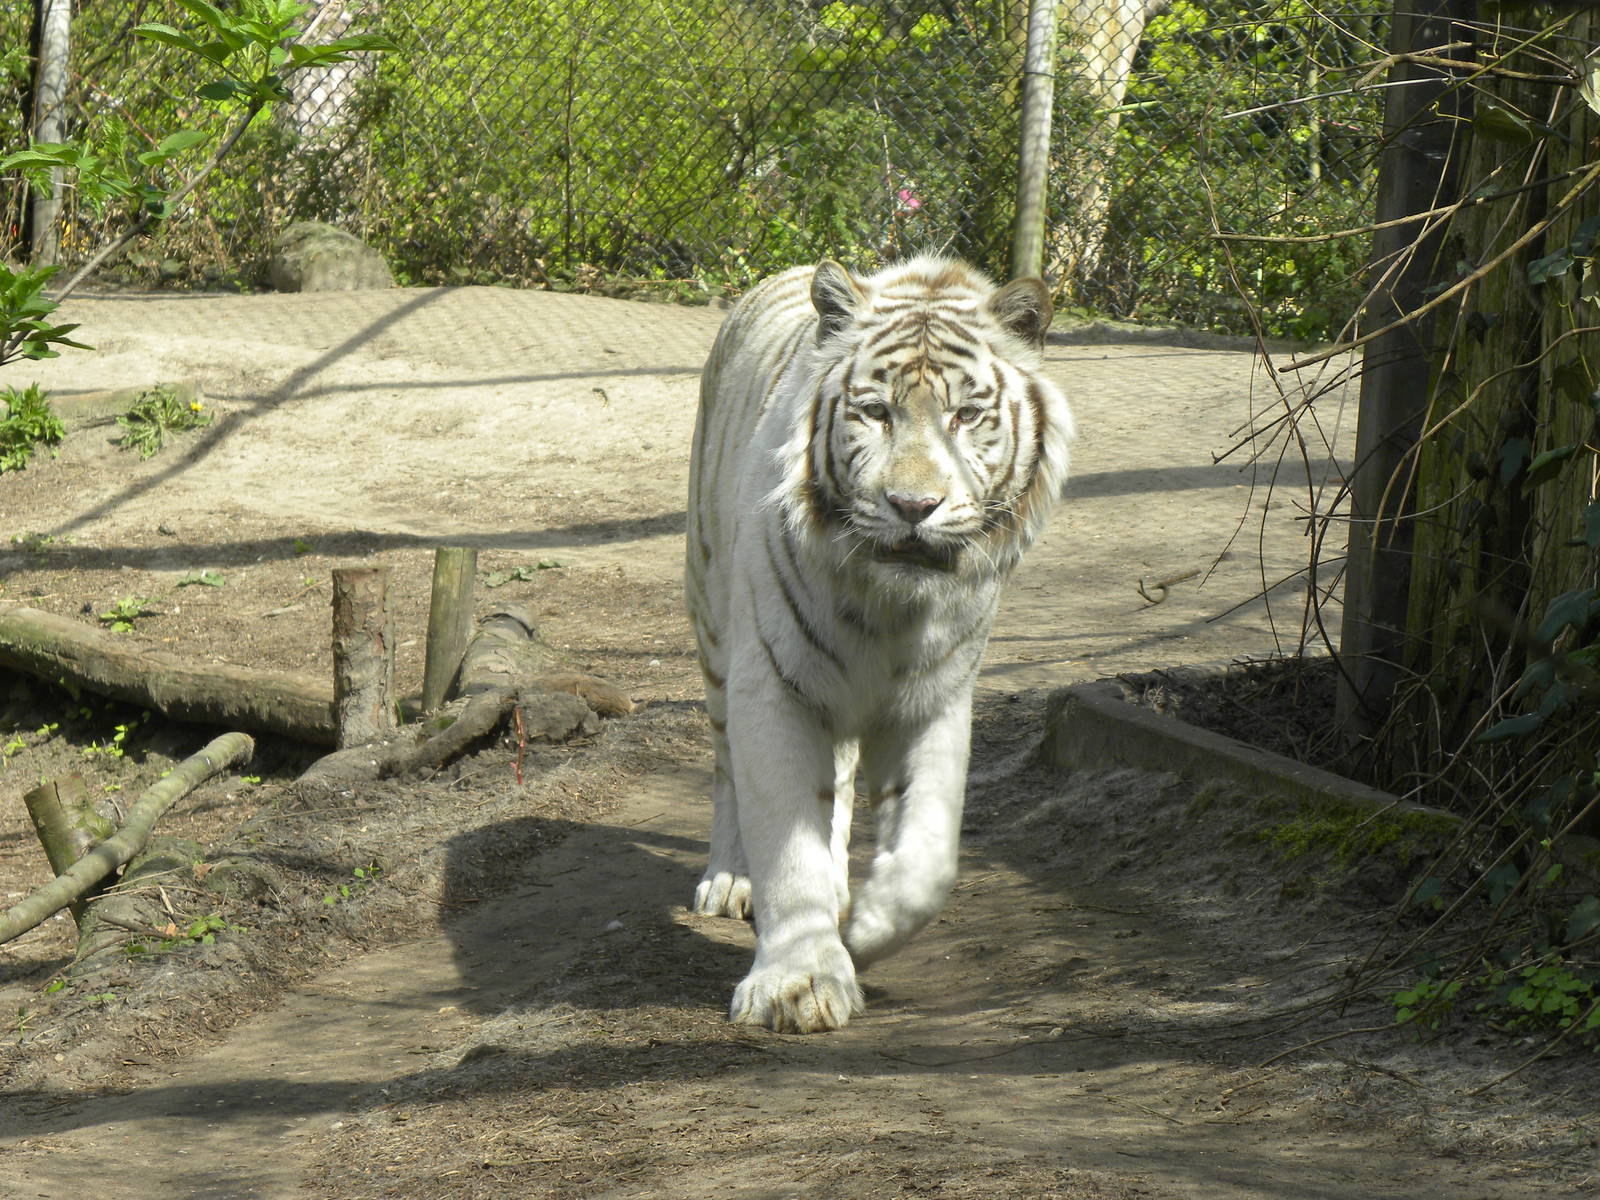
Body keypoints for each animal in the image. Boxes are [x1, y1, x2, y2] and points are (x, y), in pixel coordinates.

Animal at [684, 255, 1074, 1033]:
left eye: (965, 415)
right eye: (875, 412)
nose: (913, 507)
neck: (888, 606)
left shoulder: (935, 698)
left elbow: (929, 859)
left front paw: (864, 928)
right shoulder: (773, 684)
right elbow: (787, 843)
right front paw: (797, 982)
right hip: (713, 628)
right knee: (726, 772)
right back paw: (732, 878)